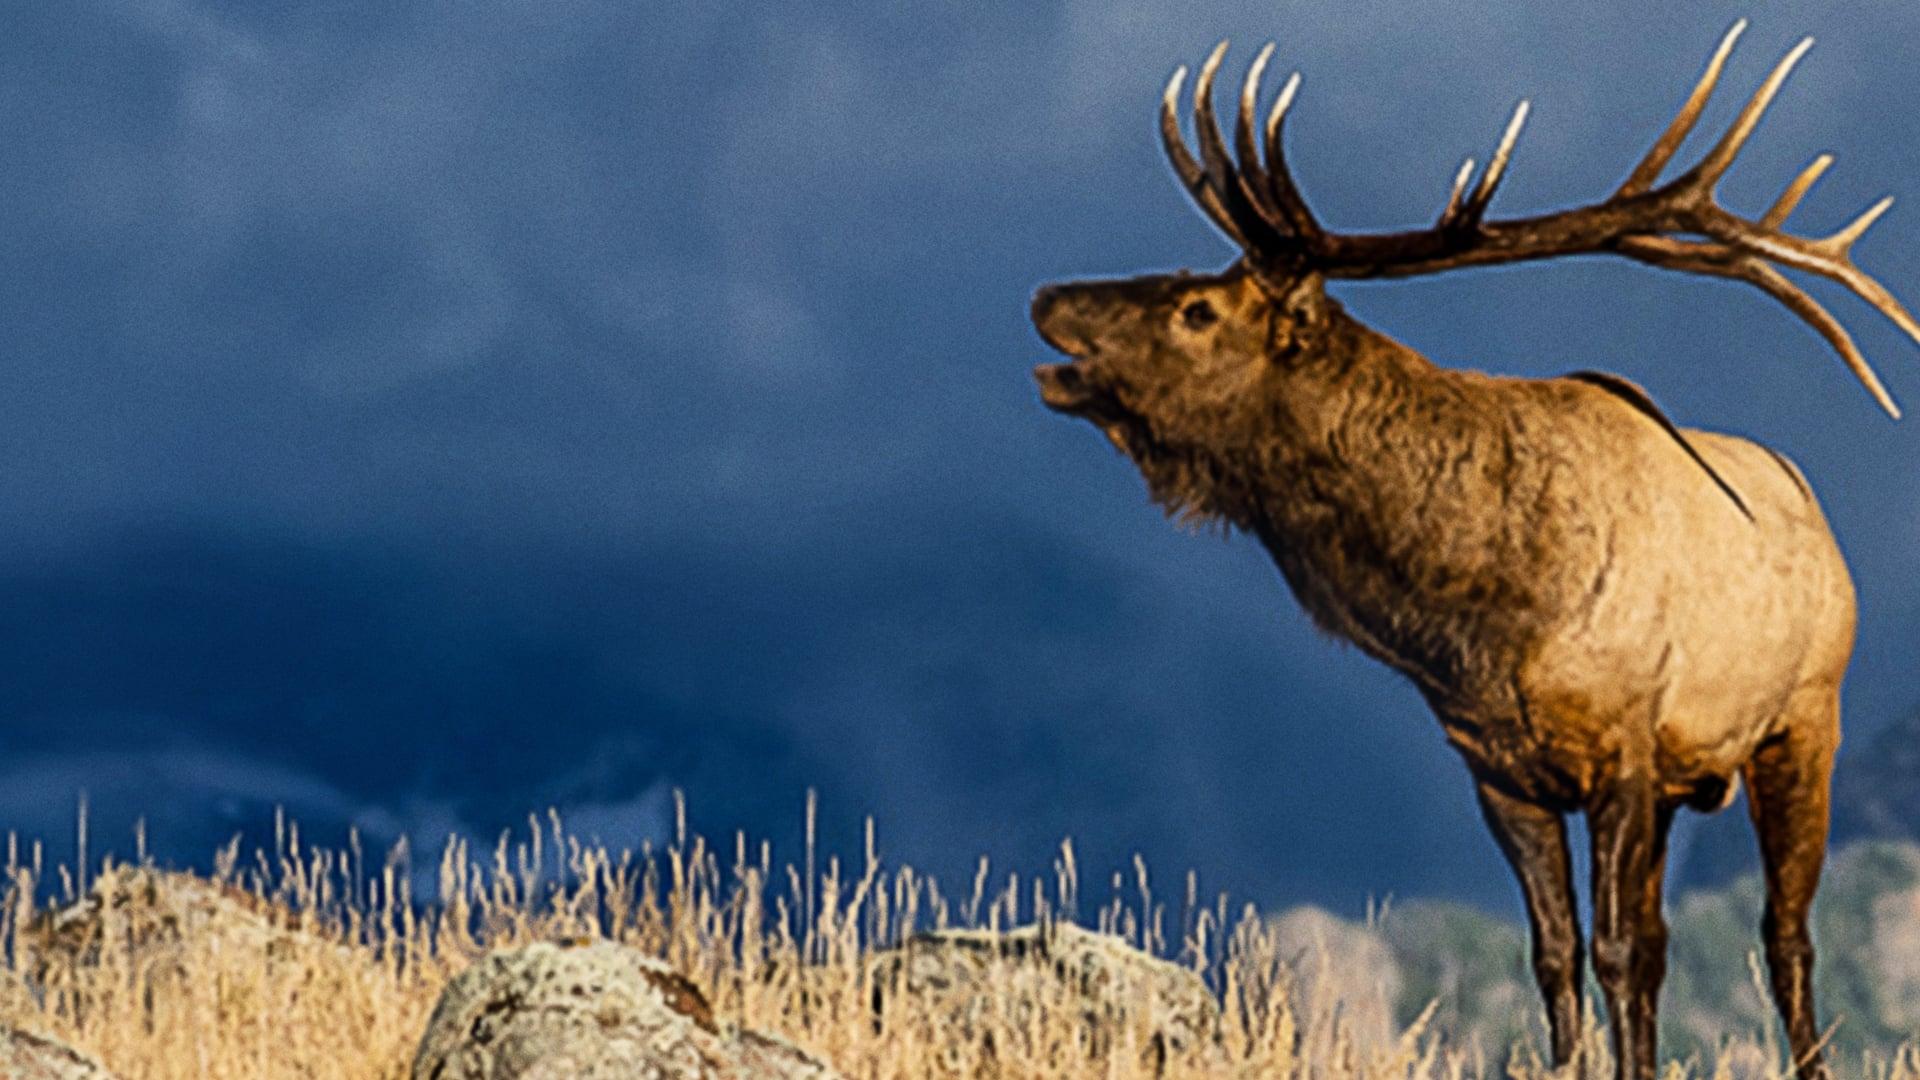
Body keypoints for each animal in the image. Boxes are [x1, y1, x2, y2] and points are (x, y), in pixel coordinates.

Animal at [1029, 25, 1912, 1076]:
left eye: (1198, 310)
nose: (1048, 293)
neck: (1484, 619)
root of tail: (1815, 505)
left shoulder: (1623, 744)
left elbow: (1619, 950)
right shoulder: (1499, 769)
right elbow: (1559, 955)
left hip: (1806, 717)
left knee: (1785, 937)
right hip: (1683, 779)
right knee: (1671, 936)